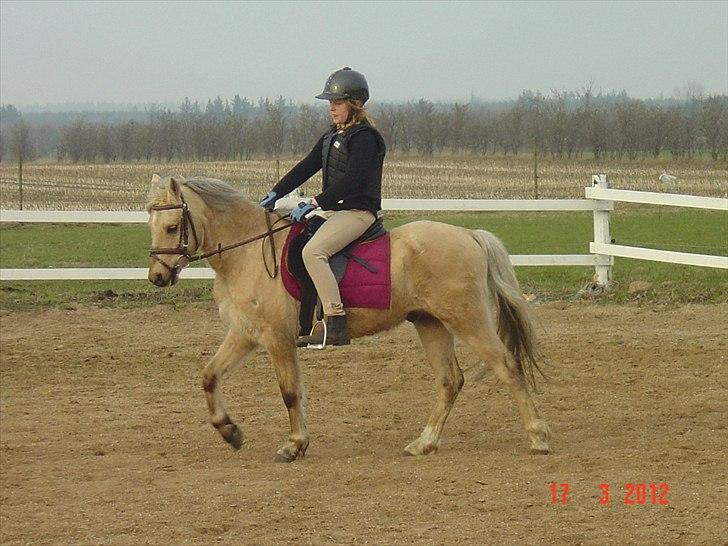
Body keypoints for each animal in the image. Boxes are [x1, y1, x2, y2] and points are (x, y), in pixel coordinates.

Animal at [145, 174, 548, 460]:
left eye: (171, 227)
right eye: (151, 225)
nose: (158, 277)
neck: (248, 252)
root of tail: (468, 234)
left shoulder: (277, 338)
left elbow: (289, 392)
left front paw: (294, 445)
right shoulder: (245, 333)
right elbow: (209, 376)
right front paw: (230, 431)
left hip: (468, 319)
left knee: (507, 366)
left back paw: (538, 436)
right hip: (430, 323)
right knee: (450, 381)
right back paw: (424, 443)